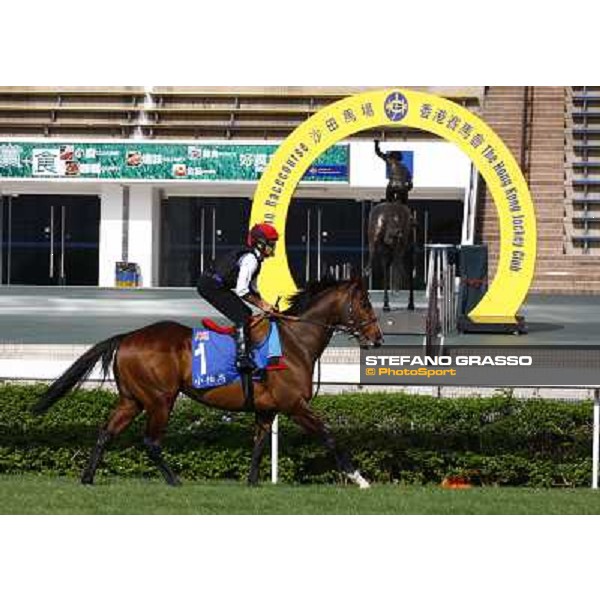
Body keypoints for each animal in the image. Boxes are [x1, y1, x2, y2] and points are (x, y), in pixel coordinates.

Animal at [31, 278, 380, 490]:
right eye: (365, 303)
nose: (377, 338)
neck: (295, 342)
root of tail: (127, 337)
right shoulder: (295, 405)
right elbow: (329, 437)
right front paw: (360, 479)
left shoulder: (267, 410)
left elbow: (259, 445)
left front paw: (252, 482)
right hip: (160, 399)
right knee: (151, 442)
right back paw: (174, 480)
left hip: (132, 400)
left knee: (106, 432)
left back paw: (88, 478)